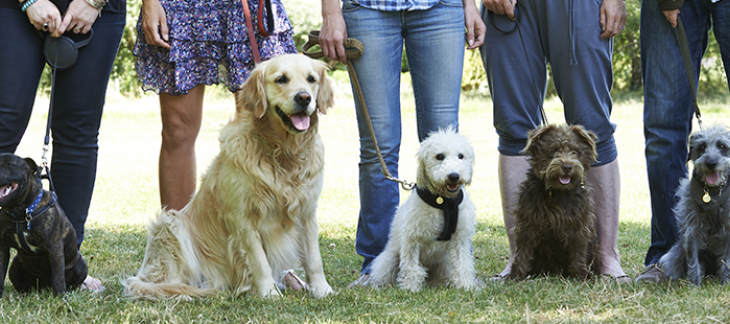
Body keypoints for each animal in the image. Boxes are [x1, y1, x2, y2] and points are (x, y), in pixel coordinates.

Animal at [0, 154, 86, 296]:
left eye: (9, 164)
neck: (22, 211)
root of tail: (44, 287)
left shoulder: (54, 248)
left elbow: (58, 277)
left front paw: (60, 298)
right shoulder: (3, 247)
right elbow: (1, 274)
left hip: (81, 265)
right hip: (15, 265)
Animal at [121, 54, 332, 300]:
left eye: (311, 79)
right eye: (281, 79)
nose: (304, 97)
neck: (283, 153)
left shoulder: (307, 211)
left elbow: (314, 258)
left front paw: (322, 289)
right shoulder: (243, 218)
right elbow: (260, 262)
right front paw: (269, 293)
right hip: (170, 223)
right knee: (165, 282)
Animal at [370, 128, 478, 292]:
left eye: (461, 156)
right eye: (439, 156)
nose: (454, 176)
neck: (443, 203)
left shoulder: (459, 239)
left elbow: (462, 265)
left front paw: (465, 287)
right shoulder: (412, 240)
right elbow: (412, 268)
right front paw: (410, 288)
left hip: (444, 263)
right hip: (388, 259)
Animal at [510, 124, 600, 280]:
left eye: (576, 151)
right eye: (553, 150)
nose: (567, 166)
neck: (558, 192)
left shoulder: (579, 225)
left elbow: (578, 252)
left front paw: (581, 278)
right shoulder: (527, 222)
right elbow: (522, 252)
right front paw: (515, 277)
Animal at [656, 125, 728, 284]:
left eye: (722, 146)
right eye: (702, 147)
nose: (711, 163)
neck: (713, 193)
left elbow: (727, 262)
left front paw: (725, 283)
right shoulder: (692, 231)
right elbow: (693, 261)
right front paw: (694, 285)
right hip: (675, 253)